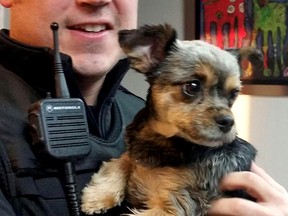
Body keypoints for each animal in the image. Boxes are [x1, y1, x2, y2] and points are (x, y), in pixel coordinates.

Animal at [80, 24, 258, 216]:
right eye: (192, 86)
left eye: (233, 94)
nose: (228, 122)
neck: (166, 141)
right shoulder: (134, 157)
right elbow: (120, 161)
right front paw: (98, 194)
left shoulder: (178, 203)